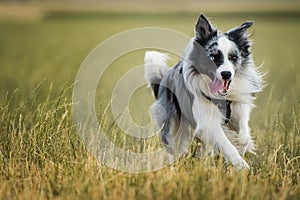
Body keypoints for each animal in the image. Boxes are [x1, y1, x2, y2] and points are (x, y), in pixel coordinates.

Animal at [144, 13, 264, 169]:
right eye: (212, 57)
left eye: (233, 57)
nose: (226, 74)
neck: (222, 98)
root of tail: (163, 81)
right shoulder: (207, 121)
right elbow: (226, 145)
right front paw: (242, 166)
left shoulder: (239, 111)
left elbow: (244, 137)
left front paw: (237, 154)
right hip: (172, 127)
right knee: (174, 148)